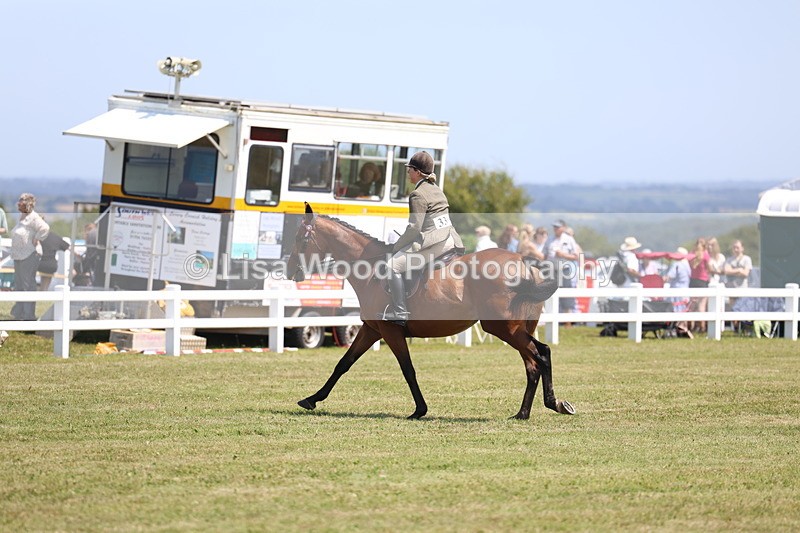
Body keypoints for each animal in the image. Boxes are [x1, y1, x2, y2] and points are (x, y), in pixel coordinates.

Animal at [286, 203, 575, 420]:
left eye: (301, 239)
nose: (290, 272)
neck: (372, 269)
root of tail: (524, 264)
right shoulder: (371, 329)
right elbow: (343, 363)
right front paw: (312, 399)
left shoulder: (390, 331)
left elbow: (408, 369)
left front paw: (419, 410)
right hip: (517, 328)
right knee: (533, 363)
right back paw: (524, 413)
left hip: (504, 328)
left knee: (541, 355)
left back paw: (553, 404)